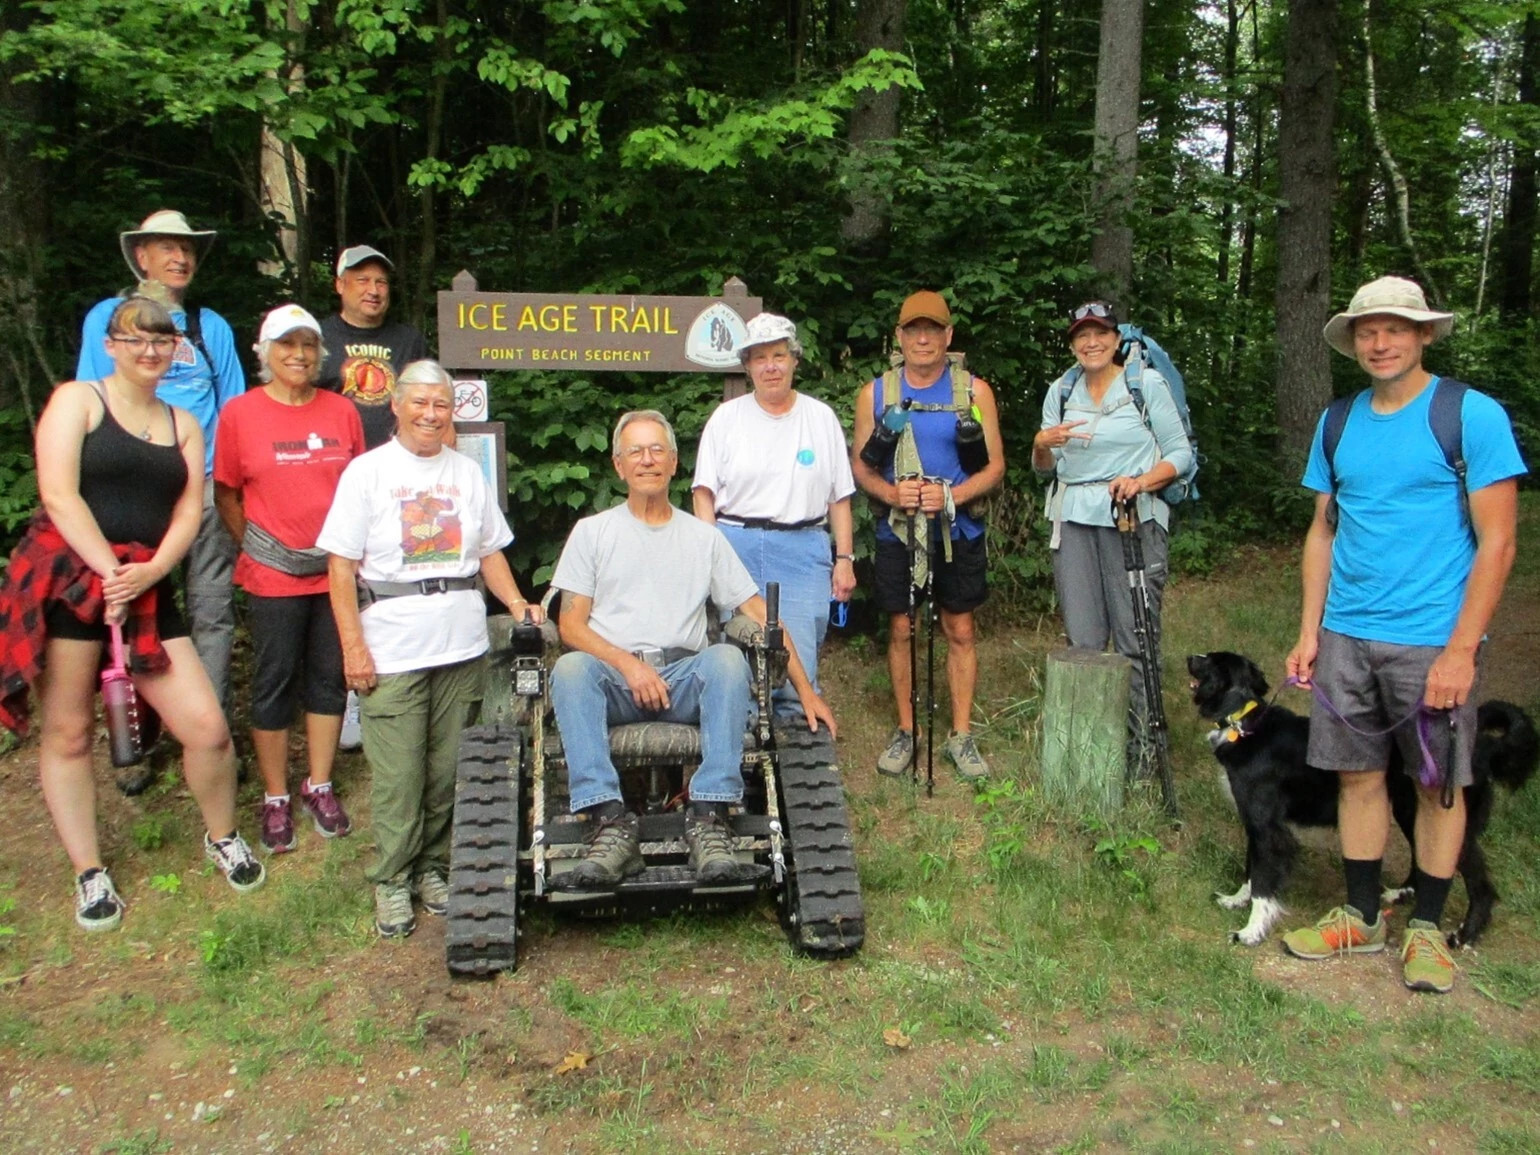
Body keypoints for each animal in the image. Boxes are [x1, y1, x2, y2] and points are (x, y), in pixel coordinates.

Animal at [1182, 652, 1533, 948]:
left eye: (1208, 660)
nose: (1189, 657)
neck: (1243, 723)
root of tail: (1482, 744)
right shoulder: (1257, 824)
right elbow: (1251, 869)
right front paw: (1235, 899)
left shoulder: (1268, 828)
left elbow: (1263, 883)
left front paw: (1250, 931)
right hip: (1409, 808)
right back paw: (1401, 893)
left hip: (1448, 818)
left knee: (1481, 886)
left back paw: (1465, 935)